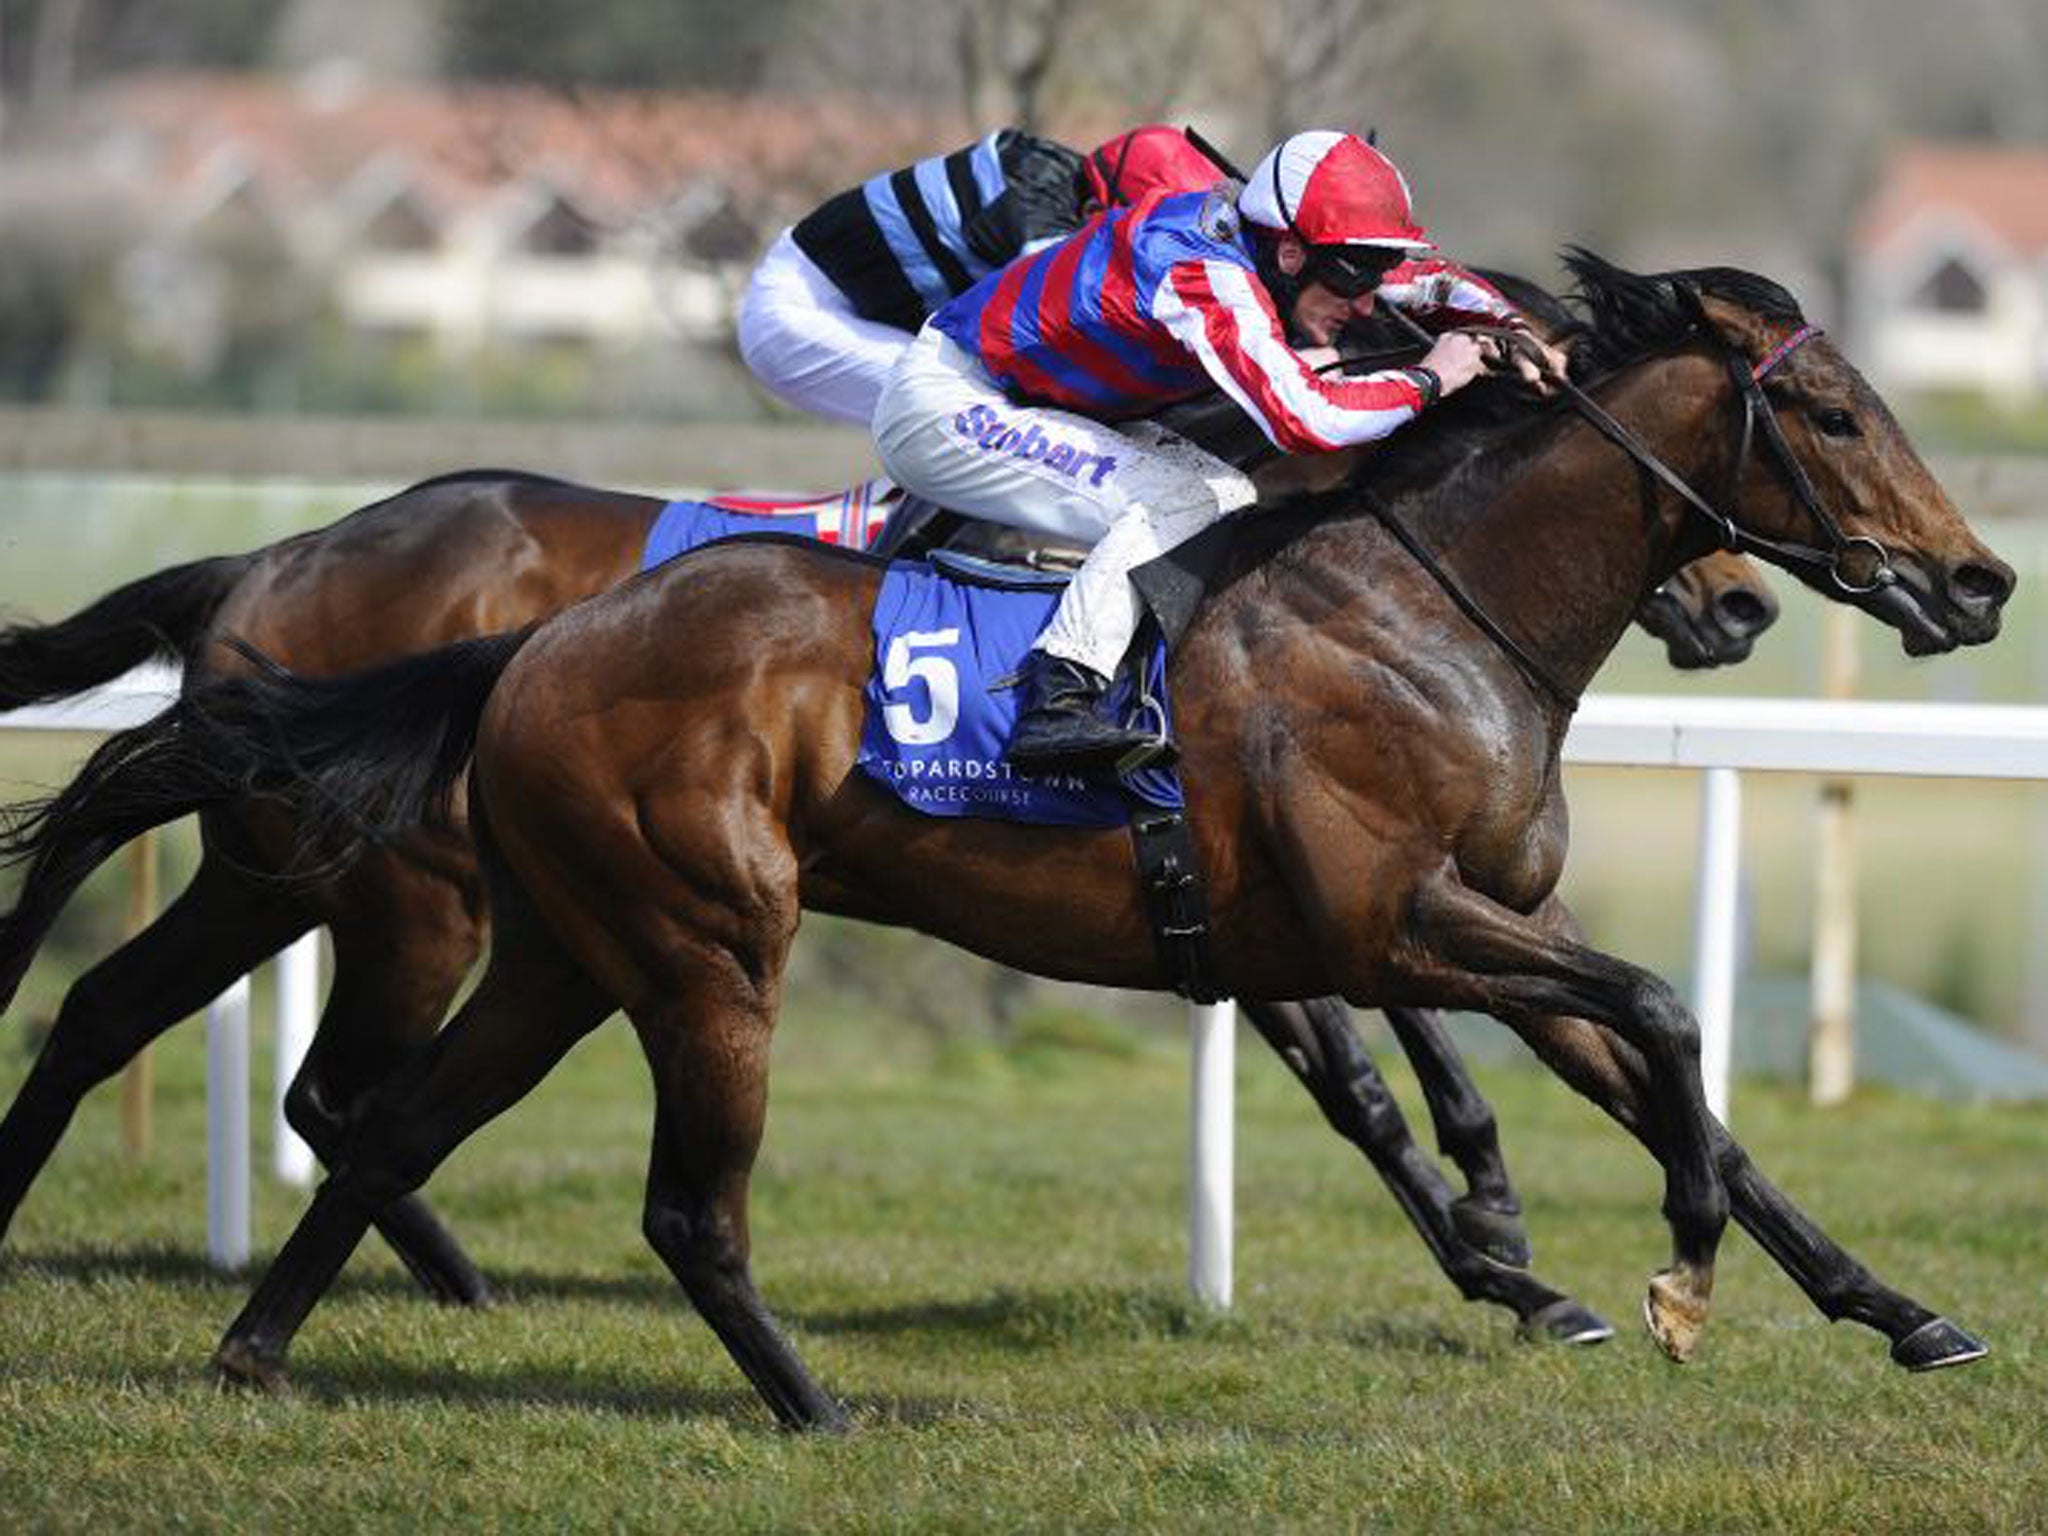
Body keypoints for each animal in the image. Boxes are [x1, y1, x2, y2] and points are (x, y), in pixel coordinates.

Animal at [92, 256, 1998, 1433]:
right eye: (1833, 415)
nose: (1975, 582)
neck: (1420, 608)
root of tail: (536, 643)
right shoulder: (1387, 924)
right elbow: (1636, 1028)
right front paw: (1641, 1271)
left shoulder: (1452, 929)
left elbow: (1677, 1087)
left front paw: (1895, 1309)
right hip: (684, 943)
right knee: (675, 1206)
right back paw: (814, 1408)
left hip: (557, 945)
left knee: (387, 1124)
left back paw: (256, 1348)